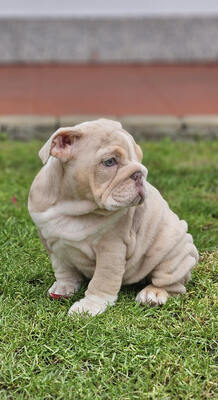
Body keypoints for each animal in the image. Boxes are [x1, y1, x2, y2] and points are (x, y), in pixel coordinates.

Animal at [29, 119, 199, 316]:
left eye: (139, 159)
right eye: (110, 162)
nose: (140, 174)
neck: (72, 205)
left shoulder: (110, 249)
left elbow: (102, 280)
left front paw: (90, 306)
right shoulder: (52, 244)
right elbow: (62, 269)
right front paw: (64, 286)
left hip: (172, 255)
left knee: (174, 285)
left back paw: (153, 294)